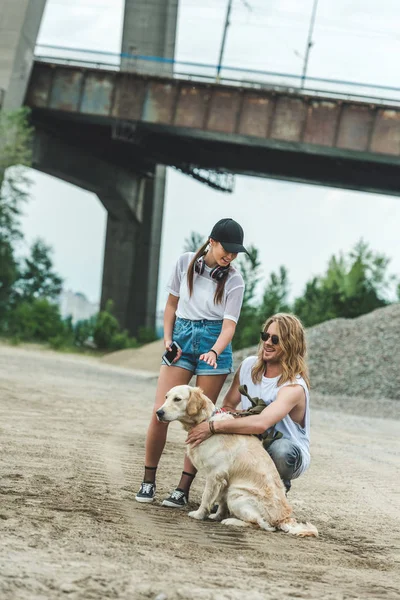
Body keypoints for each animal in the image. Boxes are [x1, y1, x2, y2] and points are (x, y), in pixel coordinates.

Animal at [158, 386, 318, 536]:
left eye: (177, 399)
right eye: (166, 397)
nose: (158, 412)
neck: (205, 420)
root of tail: (284, 518)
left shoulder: (215, 475)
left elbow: (206, 497)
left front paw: (199, 514)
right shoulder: (225, 479)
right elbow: (221, 502)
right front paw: (217, 516)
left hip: (236, 494)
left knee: (260, 523)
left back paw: (232, 521)